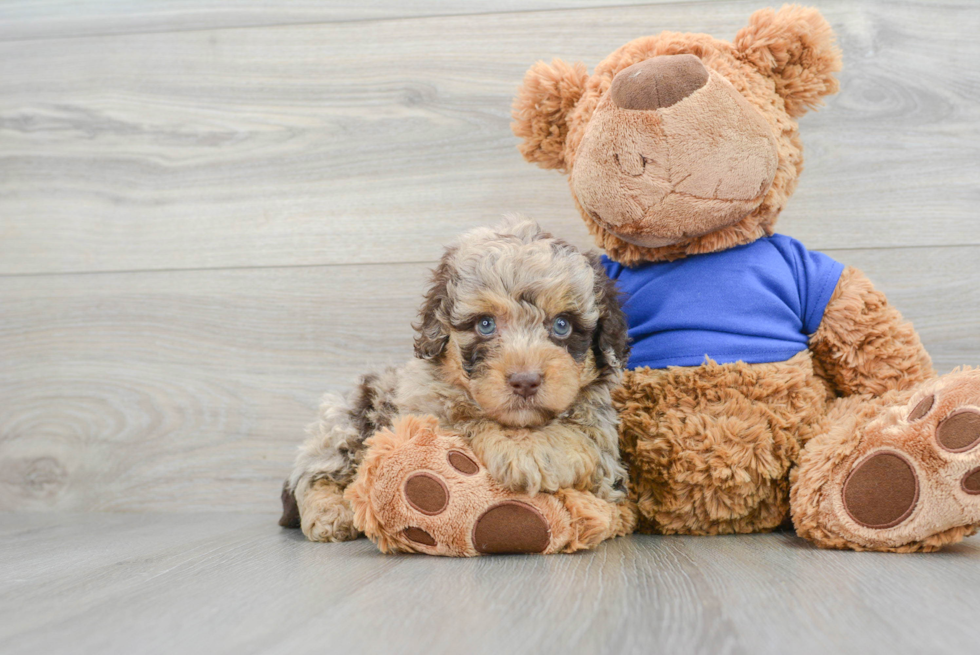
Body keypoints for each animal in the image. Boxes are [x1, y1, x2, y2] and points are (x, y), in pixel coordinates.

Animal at [278, 217, 628, 544]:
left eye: (562, 325)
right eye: (485, 324)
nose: (525, 381)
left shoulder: (604, 442)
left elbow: (584, 436)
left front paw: (535, 449)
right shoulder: (423, 406)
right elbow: (464, 417)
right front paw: (523, 447)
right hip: (346, 420)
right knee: (312, 474)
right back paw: (331, 513)